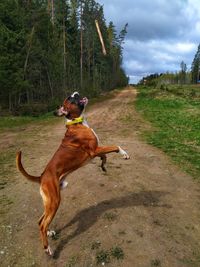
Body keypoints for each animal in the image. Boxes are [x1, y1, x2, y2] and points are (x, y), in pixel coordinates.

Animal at [16, 92, 130, 258]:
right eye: (70, 99)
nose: (75, 93)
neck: (76, 122)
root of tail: (42, 176)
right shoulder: (95, 150)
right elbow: (115, 147)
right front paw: (124, 153)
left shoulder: (96, 152)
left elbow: (105, 156)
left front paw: (103, 166)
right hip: (55, 201)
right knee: (42, 224)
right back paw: (47, 248)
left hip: (49, 202)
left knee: (40, 221)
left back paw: (49, 232)